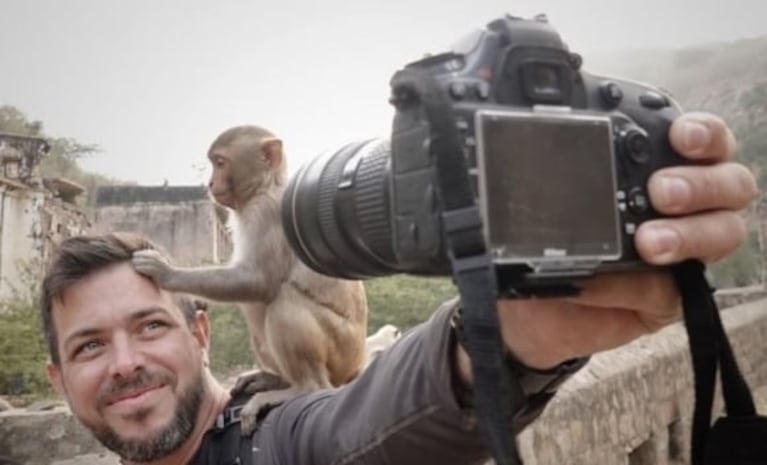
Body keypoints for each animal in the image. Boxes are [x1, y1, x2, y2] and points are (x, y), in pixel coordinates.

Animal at [132, 124, 368, 432]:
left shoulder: (266, 213)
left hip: (342, 349)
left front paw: (167, 273)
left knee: (284, 300)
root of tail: (359, 363)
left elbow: (257, 282)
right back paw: (275, 379)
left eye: (220, 163)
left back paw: (303, 387)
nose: (210, 184)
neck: (266, 186)